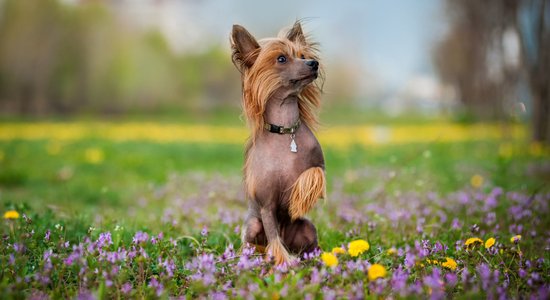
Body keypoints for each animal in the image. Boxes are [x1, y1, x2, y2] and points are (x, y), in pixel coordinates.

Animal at [230, 21, 326, 264]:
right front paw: (284, 262)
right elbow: (274, 238)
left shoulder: (320, 165)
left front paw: (297, 198)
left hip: (307, 228)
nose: (313, 63)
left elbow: (313, 174)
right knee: (258, 242)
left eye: (303, 55)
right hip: (253, 226)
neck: (285, 132)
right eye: (281, 59)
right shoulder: (266, 206)